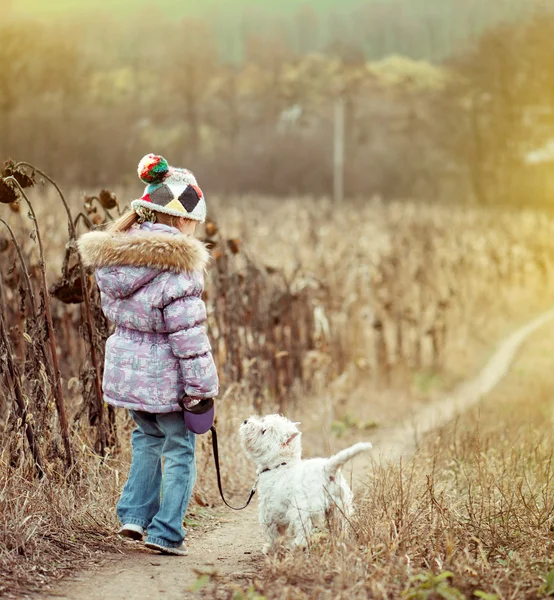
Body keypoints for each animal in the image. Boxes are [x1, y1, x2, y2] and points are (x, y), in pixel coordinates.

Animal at [238, 414, 370, 552]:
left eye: (263, 431)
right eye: (263, 420)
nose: (245, 421)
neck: (280, 464)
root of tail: (326, 470)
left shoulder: (268, 509)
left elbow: (272, 531)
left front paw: (271, 548)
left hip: (301, 510)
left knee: (303, 531)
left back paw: (298, 545)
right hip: (339, 507)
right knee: (341, 526)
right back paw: (340, 540)